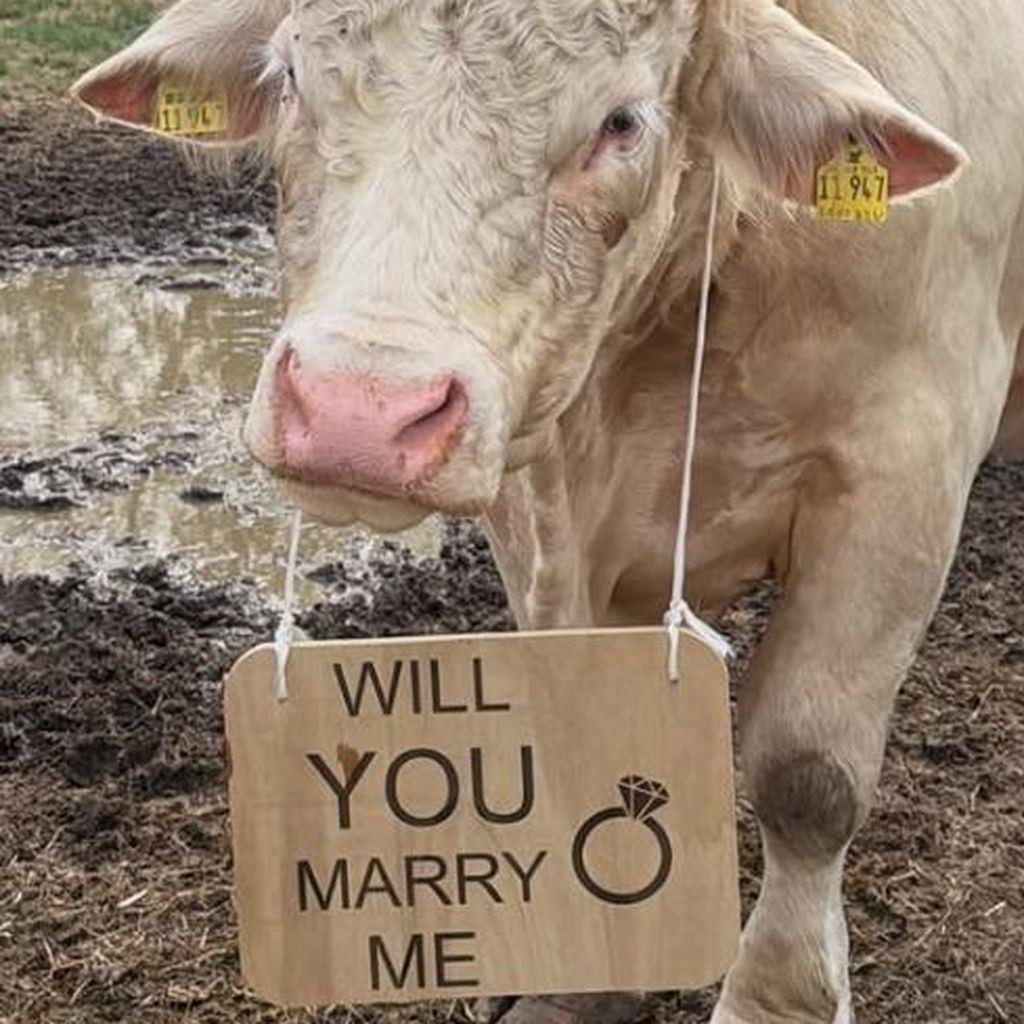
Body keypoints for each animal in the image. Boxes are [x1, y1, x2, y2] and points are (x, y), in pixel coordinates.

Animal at [74, 1, 1024, 1021]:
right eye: (290, 77)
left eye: (622, 121)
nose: (356, 411)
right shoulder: (541, 508)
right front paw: (590, 983)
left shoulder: (901, 469)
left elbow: (808, 775)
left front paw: (779, 1000)